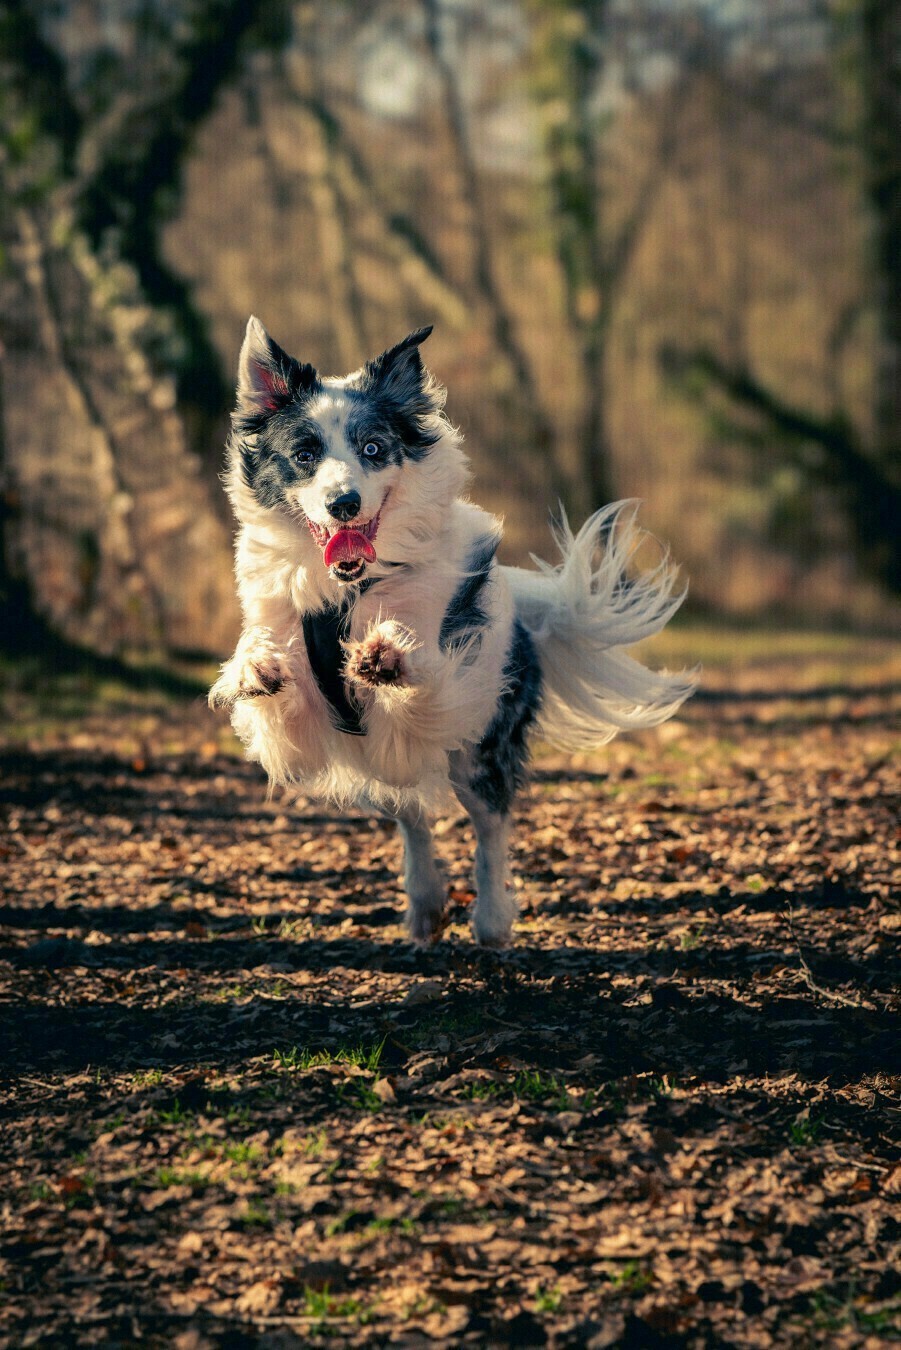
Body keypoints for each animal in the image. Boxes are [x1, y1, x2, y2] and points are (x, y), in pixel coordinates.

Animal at [208, 319, 697, 945]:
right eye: (305, 453)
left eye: (373, 448)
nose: (344, 503)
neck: (347, 590)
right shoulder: (301, 736)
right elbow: (275, 700)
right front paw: (256, 665)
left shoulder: (442, 695)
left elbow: (419, 683)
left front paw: (388, 654)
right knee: (410, 811)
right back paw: (424, 903)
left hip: (482, 752)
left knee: (489, 826)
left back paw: (489, 918)